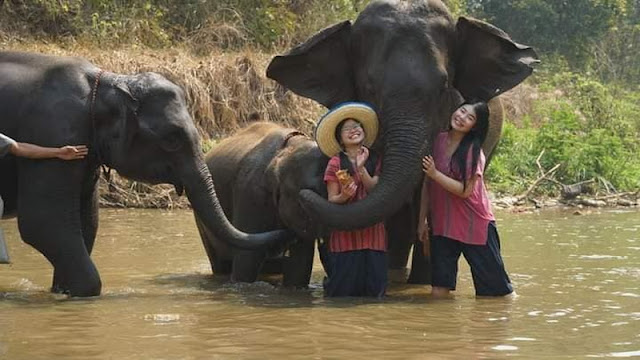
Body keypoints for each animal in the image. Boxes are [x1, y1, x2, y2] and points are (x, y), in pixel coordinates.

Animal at [0, 51, 290, 298]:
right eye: (172, 139)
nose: (283, 234)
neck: (105, 84)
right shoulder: (53, 131)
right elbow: (43, 222)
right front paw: (85, 291)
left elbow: (87, 222)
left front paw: (63, 291)